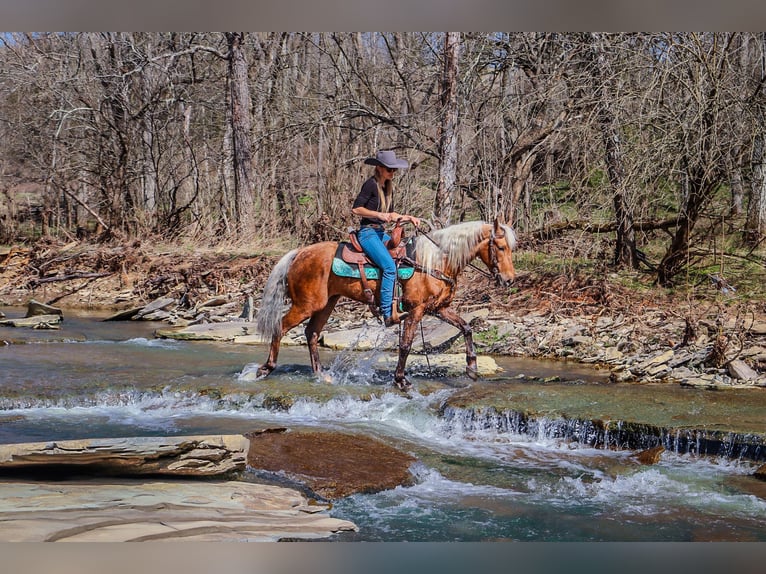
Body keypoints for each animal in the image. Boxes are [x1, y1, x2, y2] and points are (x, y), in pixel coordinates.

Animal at [256, 220, 516, 392]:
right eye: (501, 247)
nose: (510, 280)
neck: (434, 261)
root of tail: (299, 253)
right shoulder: (415, 310)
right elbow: (406, 345)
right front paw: (401, 380)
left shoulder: (438, 308)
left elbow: (466, 327)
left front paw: (472, 367)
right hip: (306, 304)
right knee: (280, 327)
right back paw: (266, 368)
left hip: (326, 303)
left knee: (311, 332)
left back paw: (322, 375)